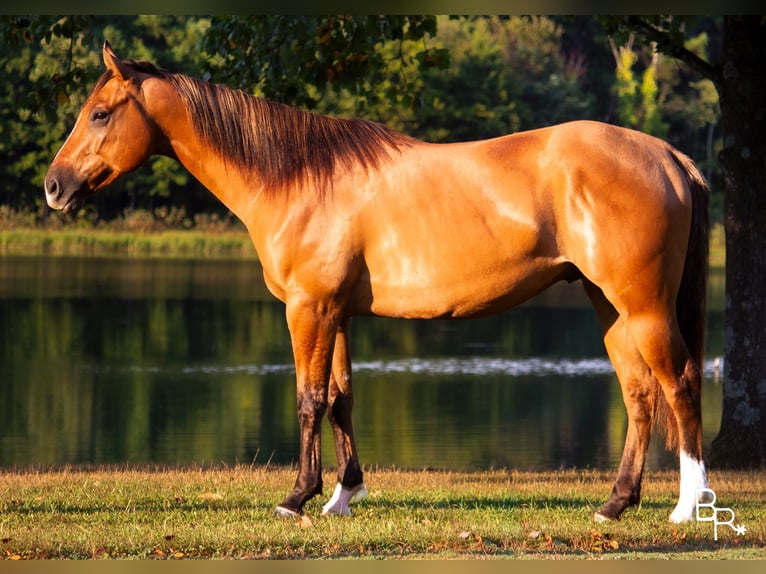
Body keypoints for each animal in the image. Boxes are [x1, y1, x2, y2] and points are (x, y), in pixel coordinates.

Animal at [45, 42, 712, 524]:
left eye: (99, 113)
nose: (54, 187)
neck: (297, 179)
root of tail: (667, 156)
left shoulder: (308, 310)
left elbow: (308, 399)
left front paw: (296, 497)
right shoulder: (337, 313)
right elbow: (341, 398)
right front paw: (343, 496)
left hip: (644, 306)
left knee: (678, 384)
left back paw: (687, 506)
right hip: (610, 305)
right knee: (639, 393)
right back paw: (615, 504)